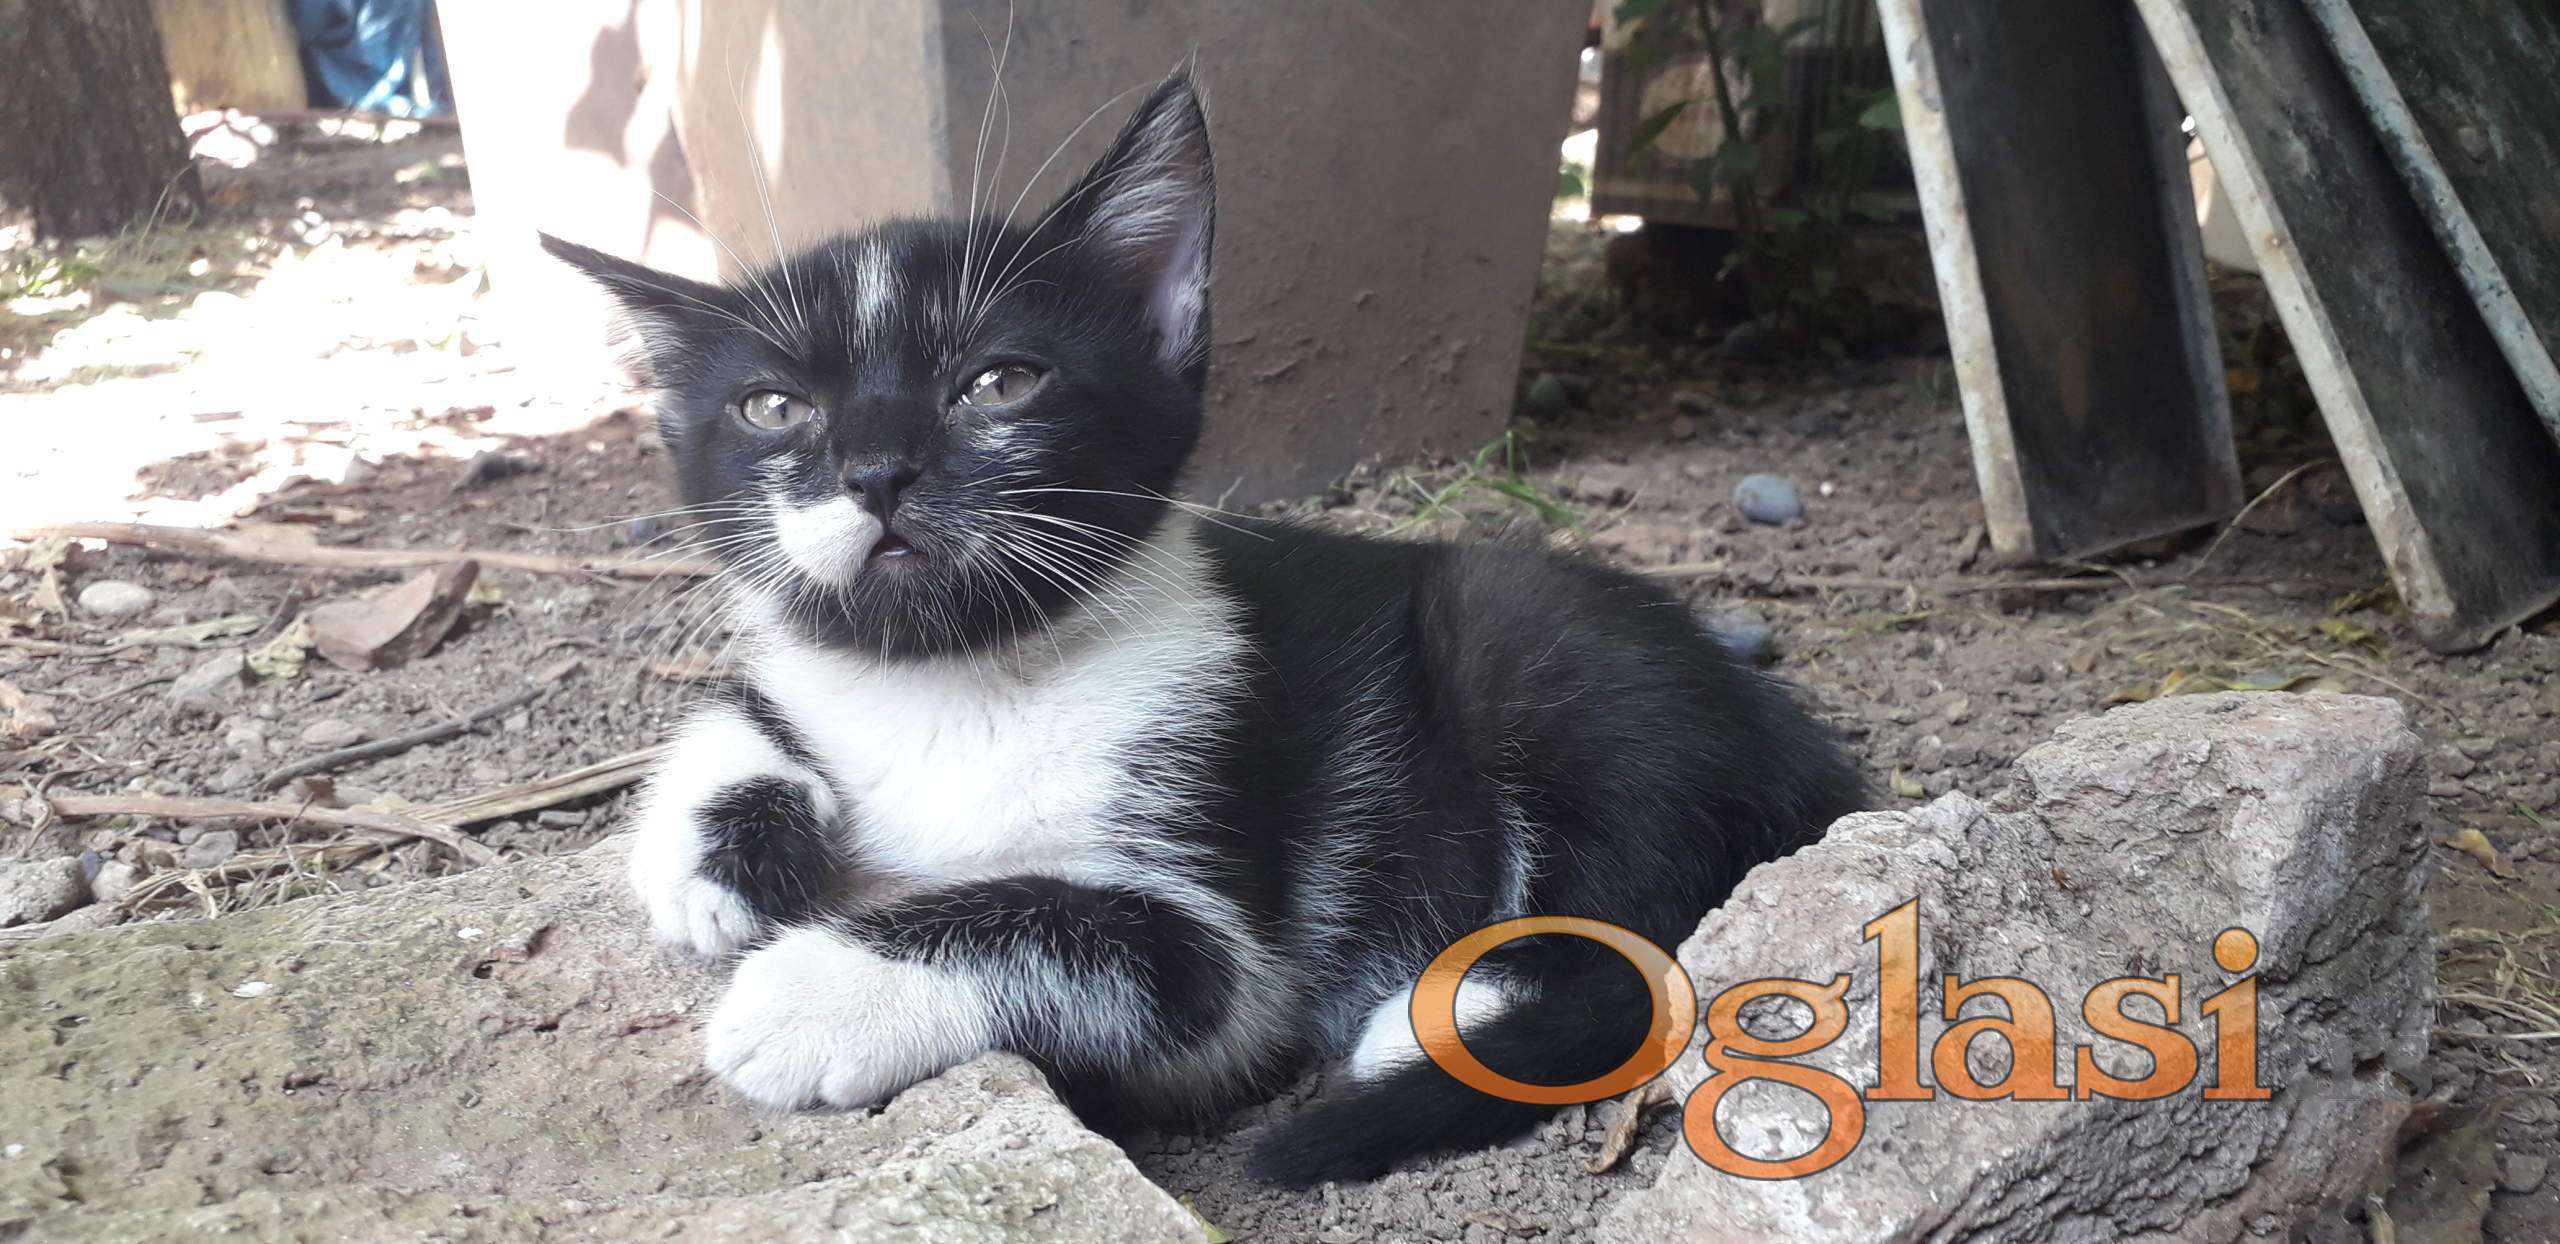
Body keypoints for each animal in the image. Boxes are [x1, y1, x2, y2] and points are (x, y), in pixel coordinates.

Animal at [545, 71, 1863, 1186]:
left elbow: (1082, 929)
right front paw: (715, 861)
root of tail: (1798, 743)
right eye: (772, 407)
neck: (966, 680)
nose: (875, 469)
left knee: (1646, 905)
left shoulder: (1226, 943)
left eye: (1000, 382)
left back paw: (1438, 1012)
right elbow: (739, 710)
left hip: (1540, 651)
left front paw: (812, 985)